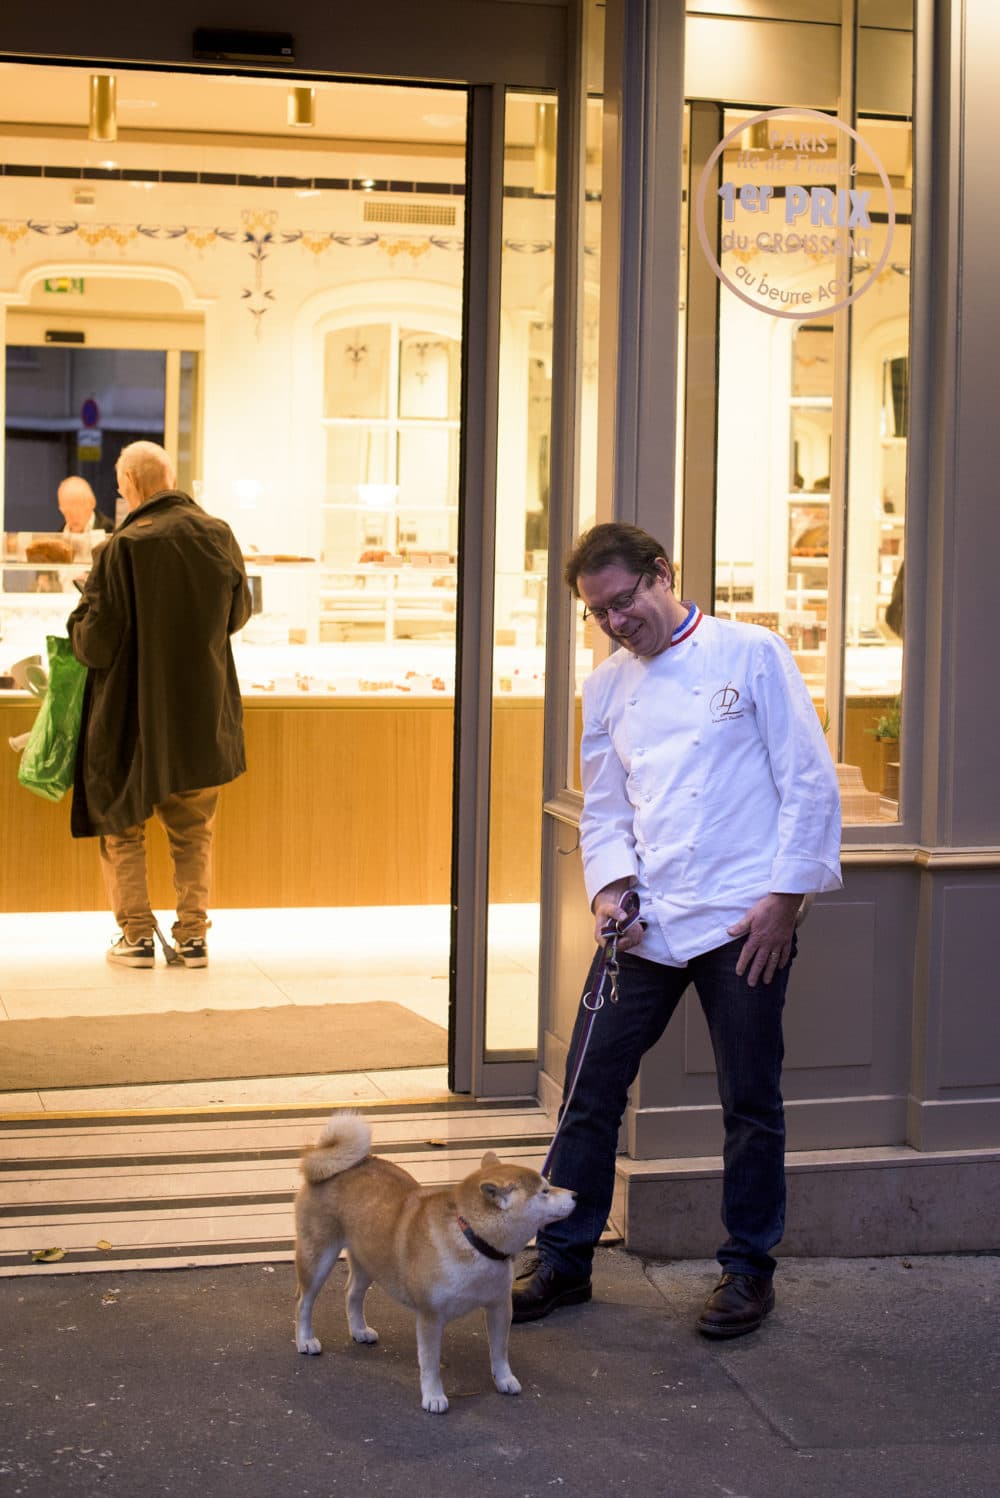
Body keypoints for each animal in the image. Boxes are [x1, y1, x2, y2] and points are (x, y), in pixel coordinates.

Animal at [293, 1114, 574, 1414]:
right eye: (545, 1191)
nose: (576, 1195)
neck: (472, 1240)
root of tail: (328, 1164)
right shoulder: (430, 1316)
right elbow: (430, 1364)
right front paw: (433, 1396)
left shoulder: (499, 1305)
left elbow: (500, 1351)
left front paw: (504, 1379)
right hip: (318, 1257)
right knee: (304, 1301)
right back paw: (306, 1340)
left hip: (370, 1259)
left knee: (352, 1294)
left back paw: (358, 1330)